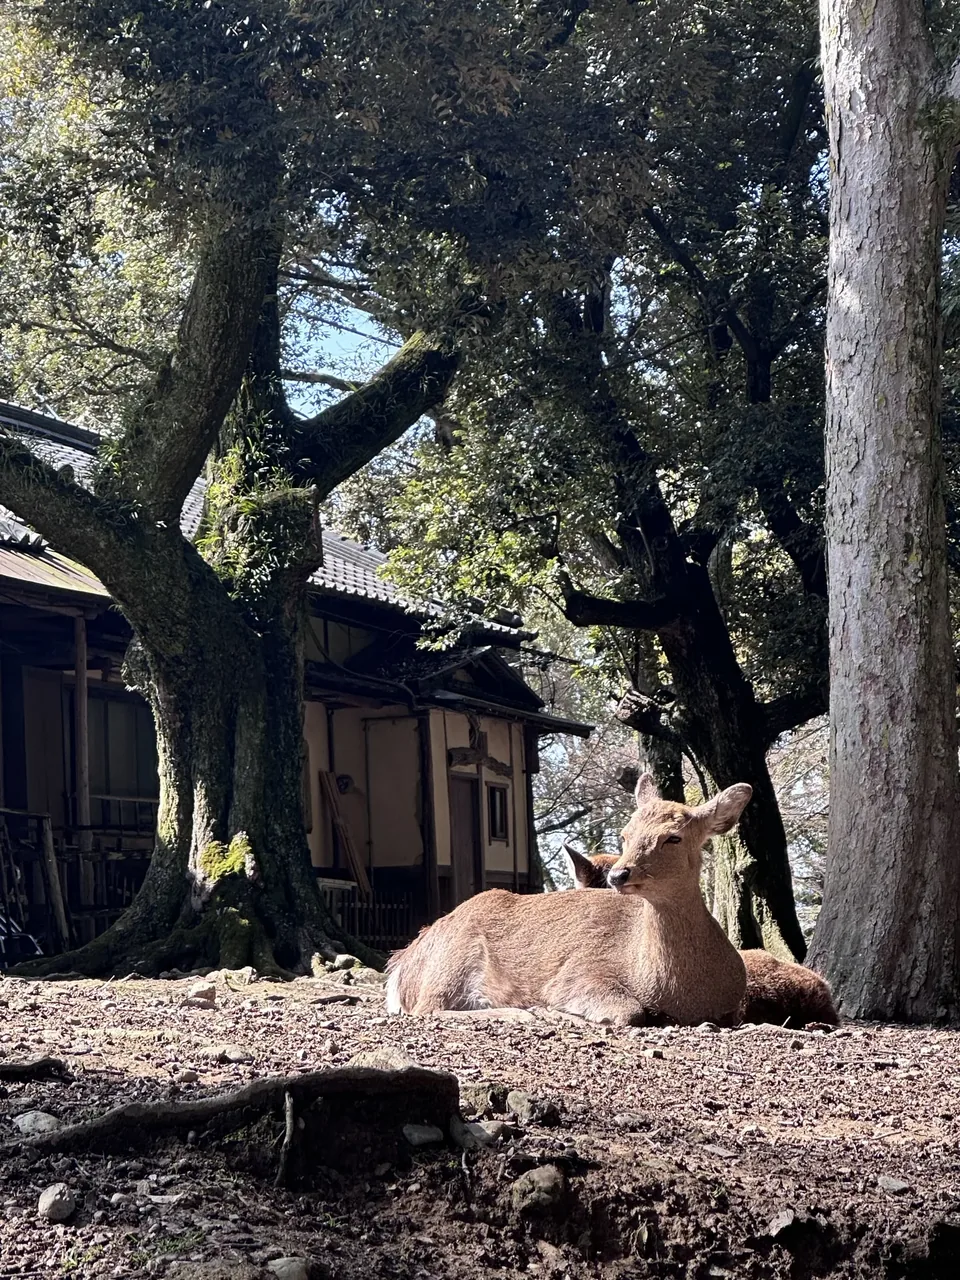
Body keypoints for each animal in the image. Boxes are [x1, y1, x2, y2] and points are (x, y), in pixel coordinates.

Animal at [386, 774, 751, 1026]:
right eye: (626, 834)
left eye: (673, 837)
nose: (619, 874)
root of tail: (402, 964)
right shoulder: (578, 973)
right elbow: (629, 1011)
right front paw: (555, 1012)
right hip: (451, 961)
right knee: (426, 1009)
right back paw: (523, 1013)